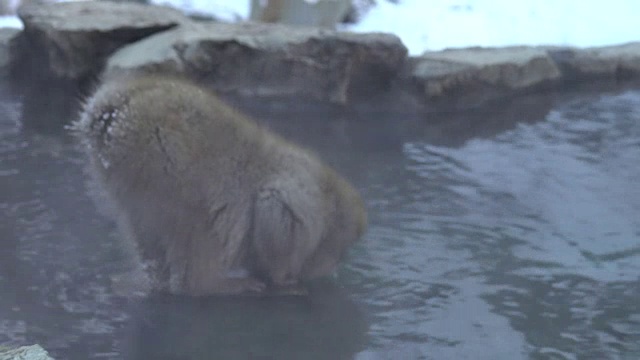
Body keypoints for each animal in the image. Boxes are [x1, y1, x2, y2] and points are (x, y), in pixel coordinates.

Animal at [72, 74, 368, 296]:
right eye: (341, 249)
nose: (336, 264)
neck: (327, 197)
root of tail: (114, 104)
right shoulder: (298, 198)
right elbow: (273, 218)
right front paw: (283, 282)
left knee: (145, 224)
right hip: (161, 155)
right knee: (194, 221)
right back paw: (214, 286)